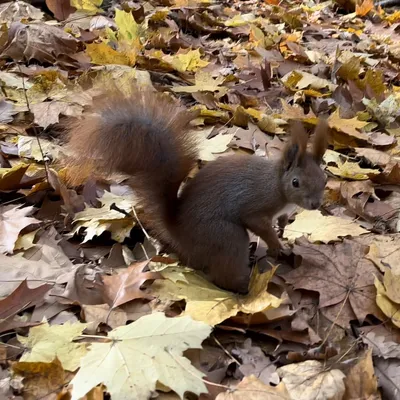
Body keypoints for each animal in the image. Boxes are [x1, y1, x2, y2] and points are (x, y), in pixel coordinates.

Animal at [66, 88, 328, 294]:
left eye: (325, 179)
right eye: (295, 182)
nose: (315, 204)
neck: (277, 185)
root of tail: (179, 233)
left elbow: (282, 220)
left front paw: (283, 233)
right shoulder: (257, 204)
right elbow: (258, 224)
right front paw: (276, 245)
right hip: (226, 236)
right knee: (222, 274)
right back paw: (243, 287)